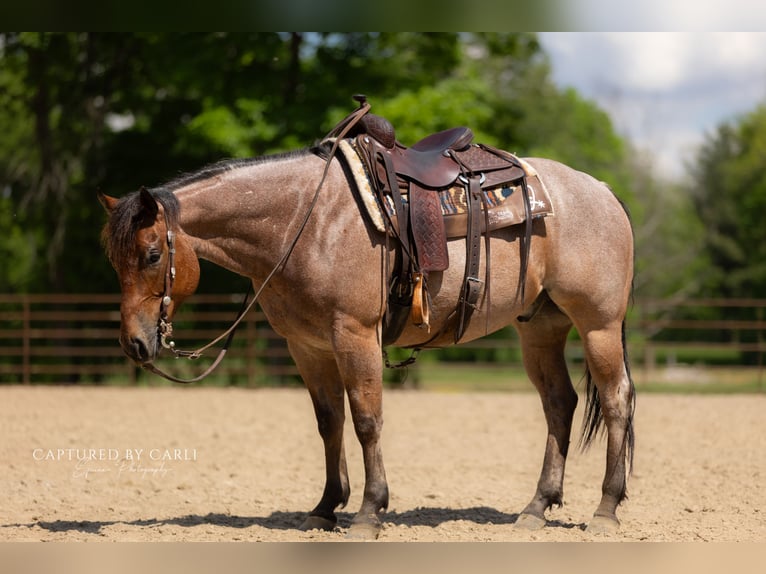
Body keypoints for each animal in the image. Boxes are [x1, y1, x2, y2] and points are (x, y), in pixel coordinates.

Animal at [99, 131, 636, 539]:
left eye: (151, 255)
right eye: (114, 262)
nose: (133, 344)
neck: (305, 220)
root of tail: (603, 190)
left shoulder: (354, 336)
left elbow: (366, 421)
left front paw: (369, 511)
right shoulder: (307, 346)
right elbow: (329, 422)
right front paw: (325, 507)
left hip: (598, 325)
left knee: (616, 399)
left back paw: (606, 509)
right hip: (540, 328)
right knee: (559, 403)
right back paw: (535, 508)